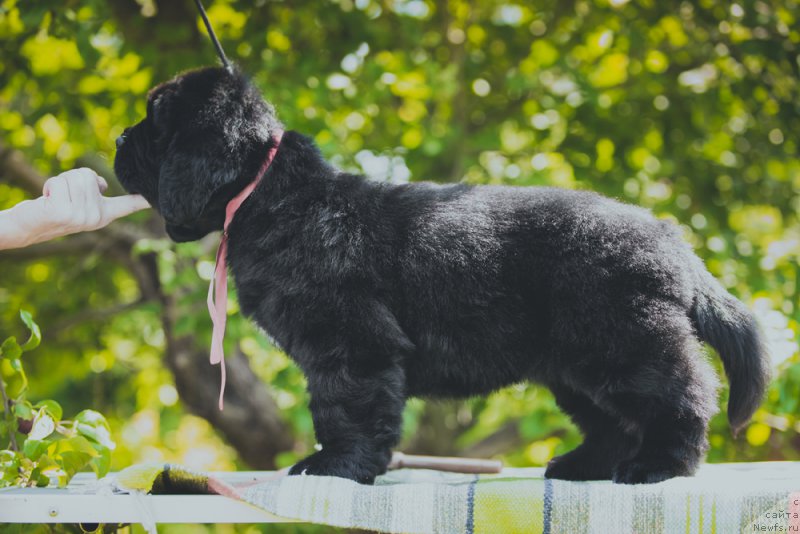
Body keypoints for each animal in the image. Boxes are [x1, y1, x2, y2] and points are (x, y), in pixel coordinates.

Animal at [115, 67, 772, 486]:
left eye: (156, 121)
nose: (119, 137)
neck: (272, 196)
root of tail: (671, 241)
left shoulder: (351, 343)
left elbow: (344, 408)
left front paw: (335, 466)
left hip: (625, 341)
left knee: (681, 397)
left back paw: (660, 466)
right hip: (574, 363)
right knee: (612, 420)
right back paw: (583, 465)